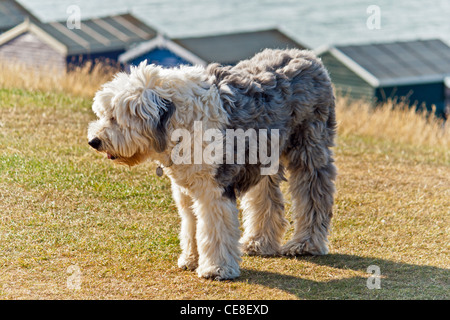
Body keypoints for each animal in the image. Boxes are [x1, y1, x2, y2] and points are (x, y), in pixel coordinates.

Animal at [88, 48, 336, 280]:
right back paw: (258, 242)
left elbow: (214, 228)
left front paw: (216, 268)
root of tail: (308, 57)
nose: (93, 141)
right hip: (262, 157)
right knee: (266, 199)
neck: (179, 122)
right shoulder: (186, 189)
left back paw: (306, 244)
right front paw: (191, 259)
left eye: (114, 118)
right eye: (103, 114)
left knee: (313, 195)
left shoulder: (213, 188)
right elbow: (192, 224)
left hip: (309, 149)